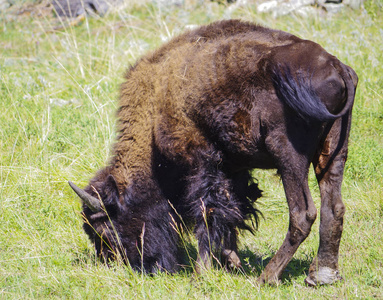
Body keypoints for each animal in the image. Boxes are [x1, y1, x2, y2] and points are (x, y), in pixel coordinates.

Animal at [68, 19, 356, 286]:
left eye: (105, 230)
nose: (114, 263)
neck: (155, 106)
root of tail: (338, 68)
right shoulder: (234, 168)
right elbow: (233, 213)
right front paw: (232, 262)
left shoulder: (202, 164)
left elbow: (208, 213)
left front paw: (201, 273)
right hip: (332, 153)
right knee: (334, 208)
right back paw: (321, 275)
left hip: (288, 156)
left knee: (303, 214)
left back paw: (266, 278)